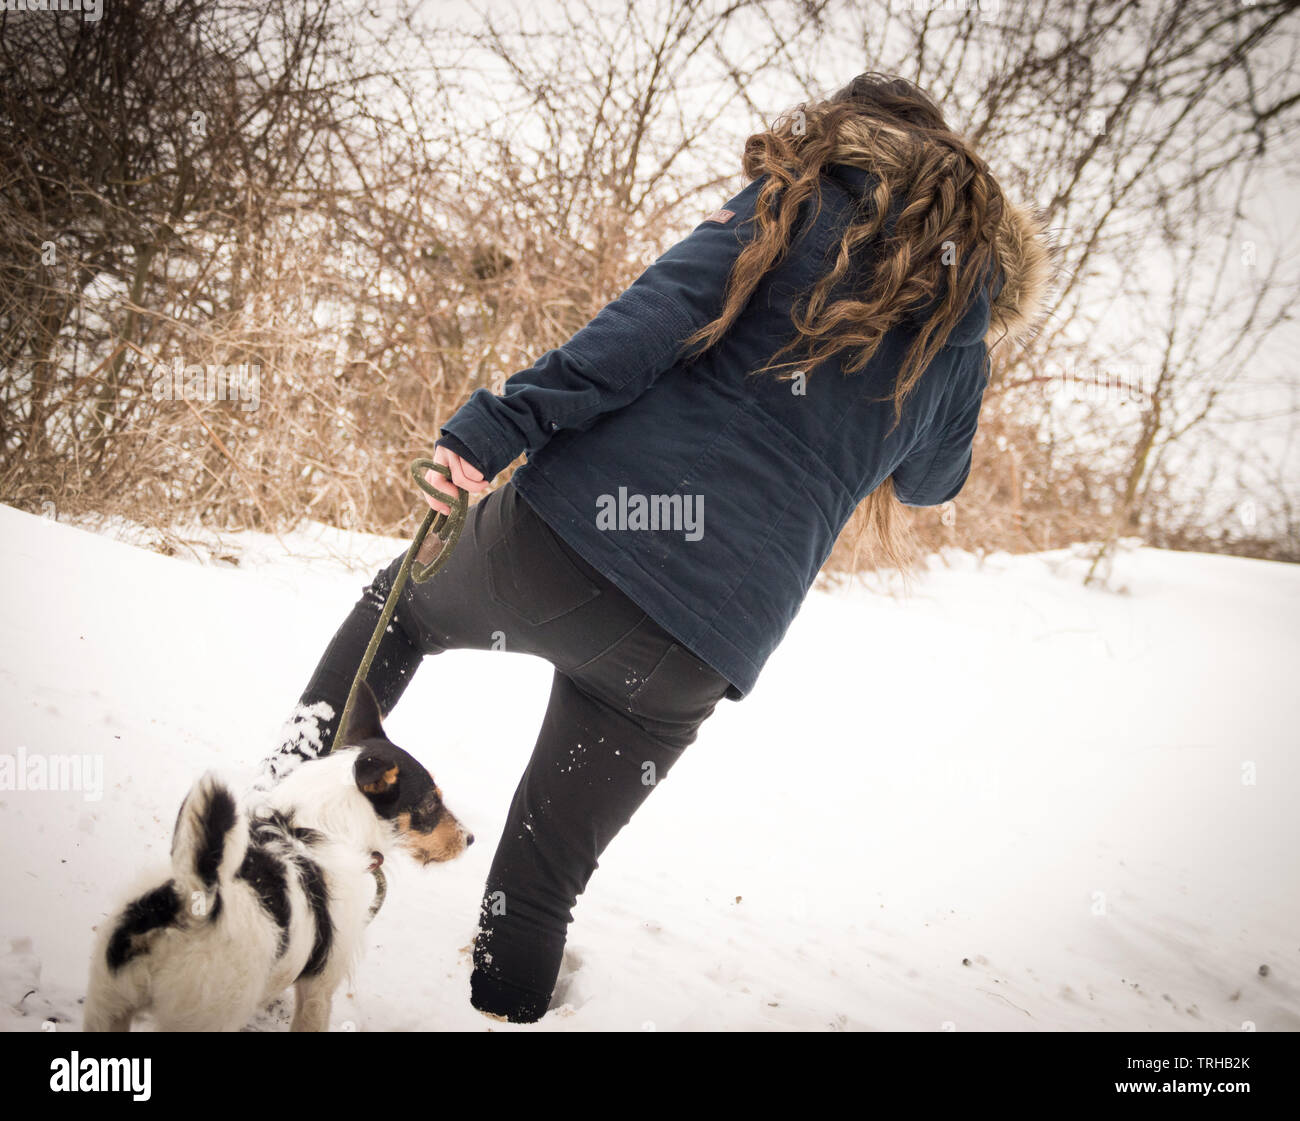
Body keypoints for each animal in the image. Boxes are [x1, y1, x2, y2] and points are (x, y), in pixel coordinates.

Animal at [85, 681, 473, 1029]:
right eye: (431, 802)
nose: (470, 838)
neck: (314, 825)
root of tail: (193, 902)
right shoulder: (319, 986)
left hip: (109, 1003)